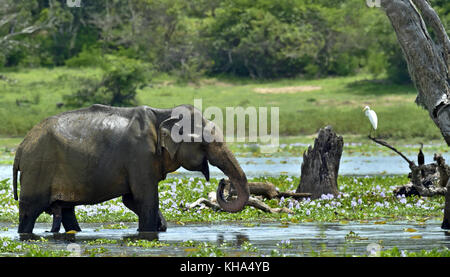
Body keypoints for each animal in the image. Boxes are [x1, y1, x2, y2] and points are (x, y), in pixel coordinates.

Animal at [12, 103, 250, 233]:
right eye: (205, 142)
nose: (223, 182)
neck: (164, 113)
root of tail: (21, 147)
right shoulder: (140, 155)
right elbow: (145, 199)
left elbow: (131, 200)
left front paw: (161, 226)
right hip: (37, 169)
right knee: (29, 213)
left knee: (67, 212)